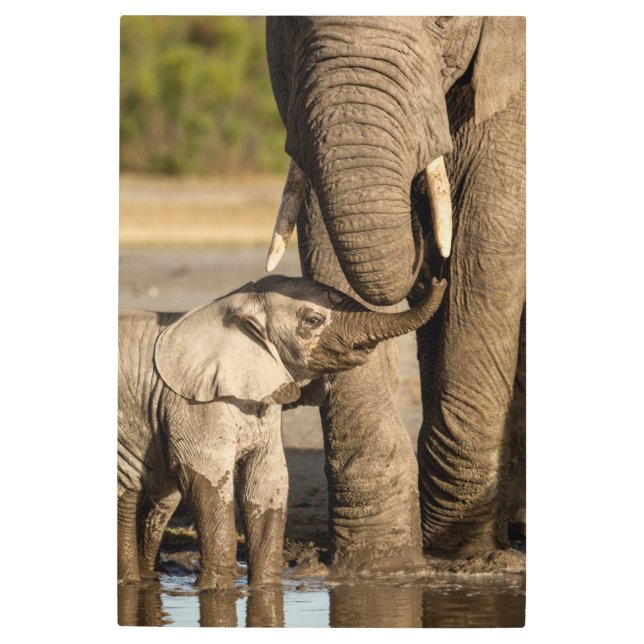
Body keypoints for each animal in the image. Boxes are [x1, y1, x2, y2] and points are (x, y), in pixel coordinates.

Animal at [118, 273, 446, 589]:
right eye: (313, 320)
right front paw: (216, 590)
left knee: (160, 502)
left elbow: (267, 481)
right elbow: (207, 478)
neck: (233, 307)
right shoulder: (194, 403)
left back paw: (148, 580)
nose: (437, 280)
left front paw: (266, 588)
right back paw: (130, 582)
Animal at [265, 16, 526, 567]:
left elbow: (484, 240)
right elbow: (325, 235)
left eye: (444, 21)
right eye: (291, 23)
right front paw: (378, 562)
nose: (431, 271)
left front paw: (459, 553)